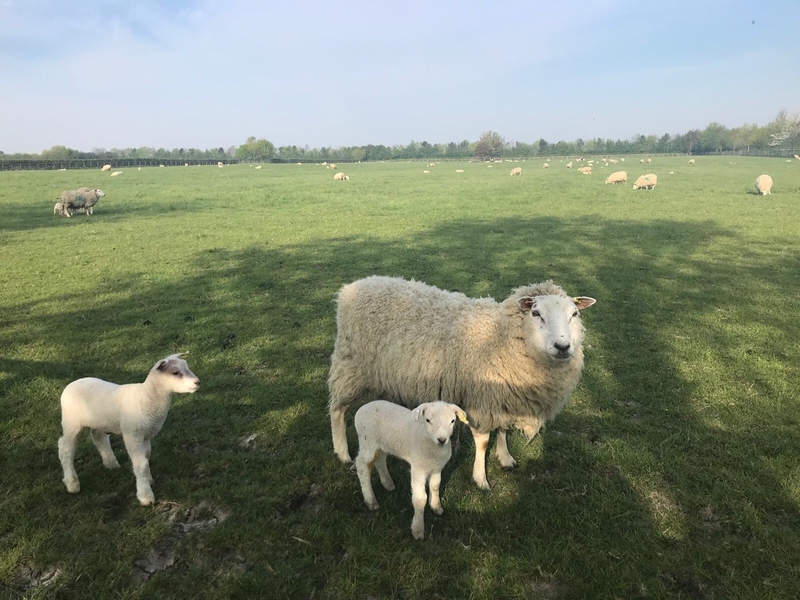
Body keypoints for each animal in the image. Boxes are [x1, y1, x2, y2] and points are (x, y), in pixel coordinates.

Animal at [56, 352, 200, 506]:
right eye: (175, 372)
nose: (198, 382)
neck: (147, 397)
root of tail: (71, 384)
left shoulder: (145, 435)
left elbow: (146, 456)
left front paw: (148, 480)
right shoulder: (132, 435)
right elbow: (141, 463)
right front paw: (145, 496)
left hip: (99, 421)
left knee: (98, 436)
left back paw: (111, 463)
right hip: (71, 422)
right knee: (66, 450)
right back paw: (72, 483)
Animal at [328, 276, 596, 488]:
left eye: (574, 314)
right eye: (536, 313)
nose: (562, 347)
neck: (500, 336)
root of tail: (351, 287)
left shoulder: (503, 395)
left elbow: (502, 429)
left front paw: (505, 458)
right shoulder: (483, 397)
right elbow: (483, 441)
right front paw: (480, 478)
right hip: (350, 366)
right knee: (337, 410)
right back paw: (342, 453)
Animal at [354, 400, 466, 540]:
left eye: (452, 421)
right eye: (428, 420)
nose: (442, 440)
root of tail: (362, 408)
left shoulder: (437, 468)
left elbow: (435, 486)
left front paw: (436, 507)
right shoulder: (418, 469)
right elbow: (420, 498)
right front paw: (418, 529)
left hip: (382, 444)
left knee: (380, 459)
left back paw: (388, 484)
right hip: (367, 442)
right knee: (362, 466)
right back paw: (371, 501)